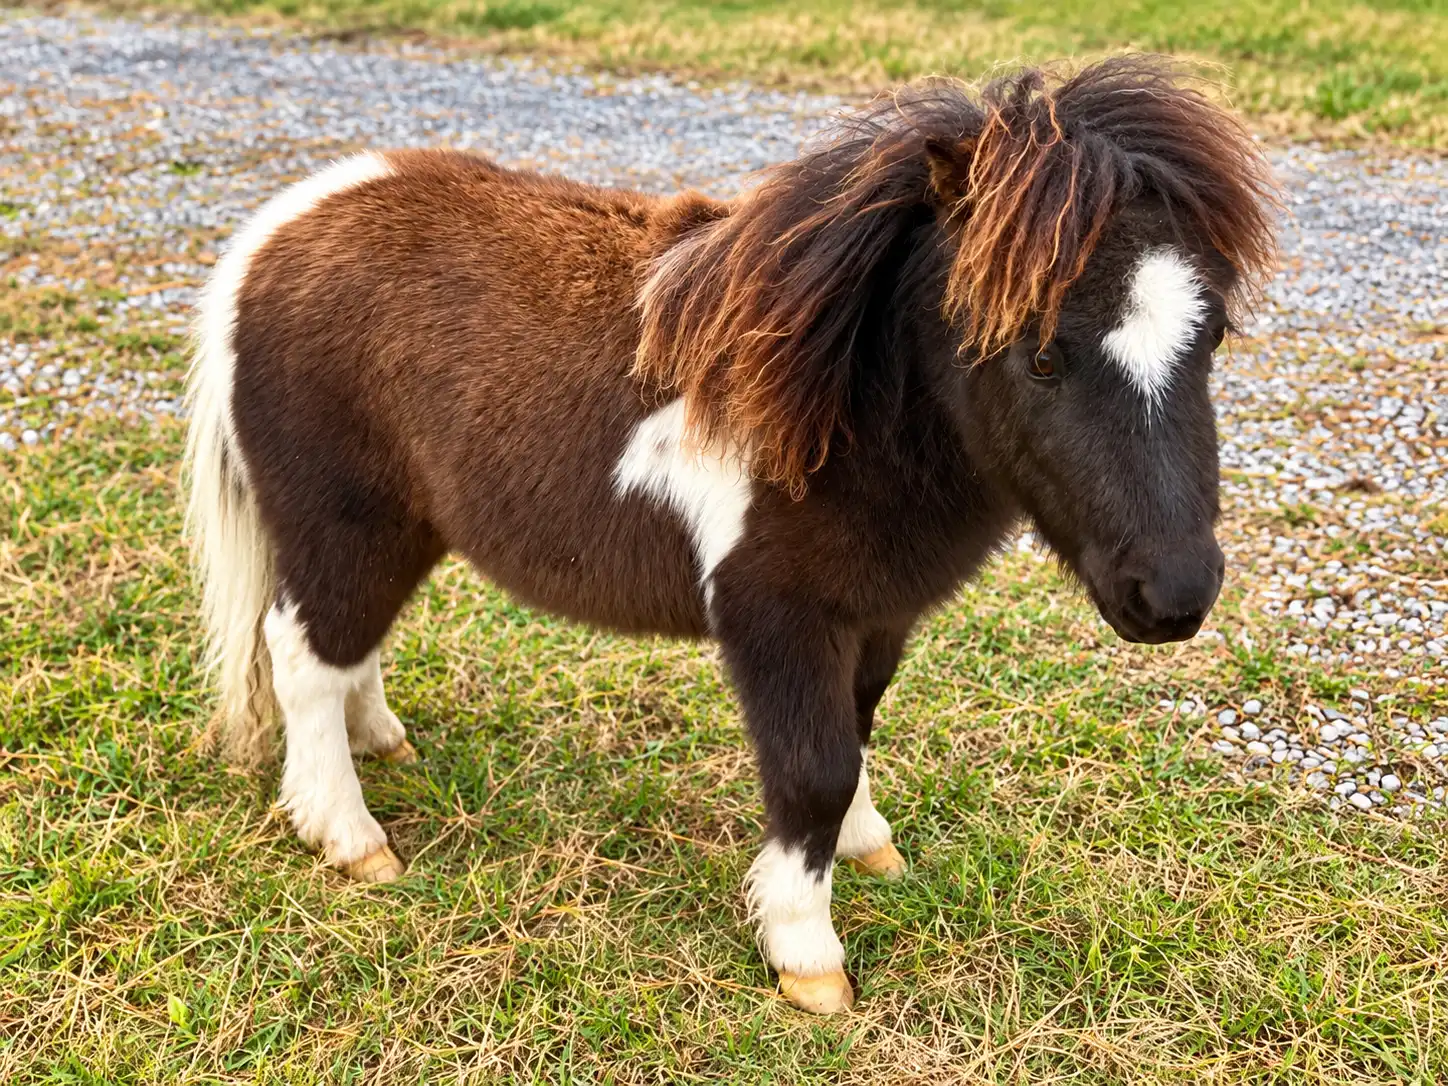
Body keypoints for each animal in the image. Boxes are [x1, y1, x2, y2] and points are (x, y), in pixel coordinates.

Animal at [184, 57, 1277, 1014]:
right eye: (1038, 353)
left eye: (1212, 334)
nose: (1174, 595)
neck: (838, 404)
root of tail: (278, 231)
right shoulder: (775, 621)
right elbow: (813, 770)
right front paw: (807, 956)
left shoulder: (871, 619)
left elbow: (855, 737)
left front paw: (867, 849)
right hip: (340, 525)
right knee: (302, 654)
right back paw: (349, 835)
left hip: (399, 533)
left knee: (344, 648)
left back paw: (381, 741)